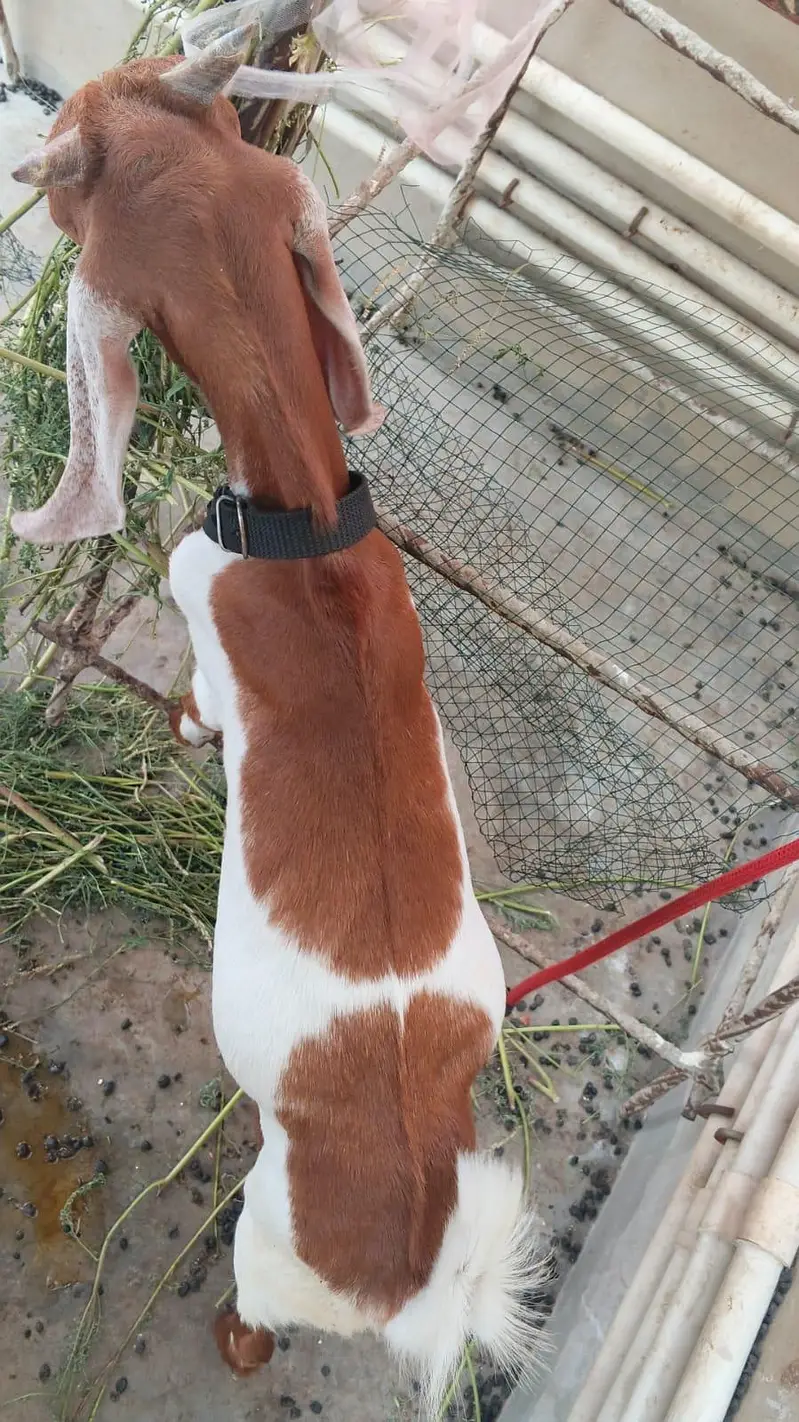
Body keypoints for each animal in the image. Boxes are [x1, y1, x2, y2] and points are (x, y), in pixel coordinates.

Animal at [11, 32, 547, 1409]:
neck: (303, 520)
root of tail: (415, 1270)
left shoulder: (199, 611)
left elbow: (200, 700)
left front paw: (190, 738)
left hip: (265, 1247)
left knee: (253, 1328)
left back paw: (224, 1335)